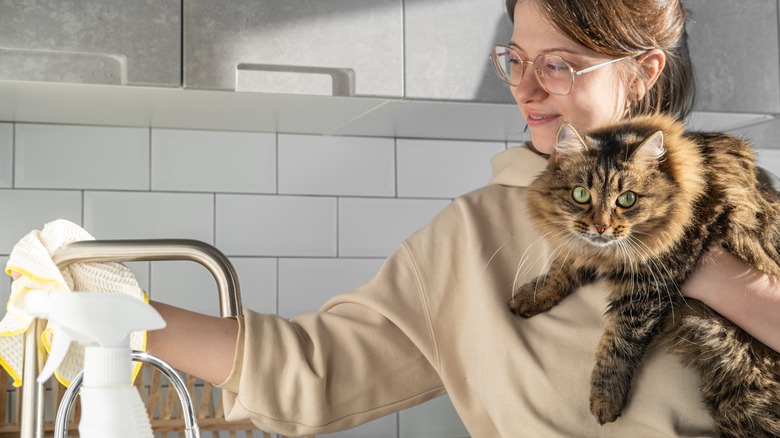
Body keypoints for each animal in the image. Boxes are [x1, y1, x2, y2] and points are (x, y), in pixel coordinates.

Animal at [508, 114, 780, 438]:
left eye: (626, 199)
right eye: (581, 195)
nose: (601, 227)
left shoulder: (648, 286)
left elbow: (618, 345)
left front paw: (605, 399)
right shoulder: (590, 251)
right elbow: (561, 267)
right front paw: (533, 296)